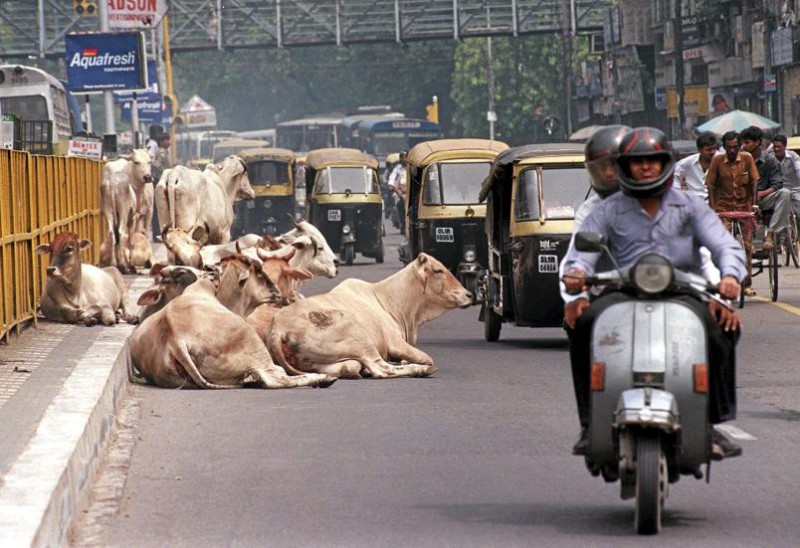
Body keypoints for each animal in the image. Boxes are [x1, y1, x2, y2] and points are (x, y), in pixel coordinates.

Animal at [266, 254, 472, 378]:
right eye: (438, 270)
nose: (469, 295)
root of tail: (278, 329)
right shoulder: (396, 343)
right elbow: (426, 358)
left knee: (350, 367)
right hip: (360, 339)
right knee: (382, 369)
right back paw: (419, 370)